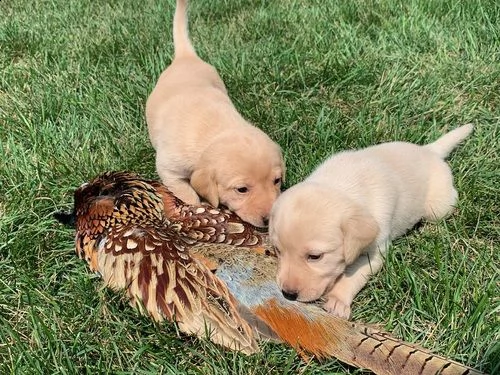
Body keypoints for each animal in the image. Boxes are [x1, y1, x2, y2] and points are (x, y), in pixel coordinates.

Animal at [145, 0, 286, 228]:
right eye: (241, 189)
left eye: (277, 180)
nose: (269, 221)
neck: (215, 132)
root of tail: (185, 57)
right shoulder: (169, 169)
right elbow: (187, 193)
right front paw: (196, 208)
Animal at [270, 125, 472, 318]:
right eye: (278, 250)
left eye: (315, 256)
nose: (288, 294)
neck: (342, 184)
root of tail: (429, 150)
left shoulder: (376, 252)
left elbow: (352, 275)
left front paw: (337, 300)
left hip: (438, 207)